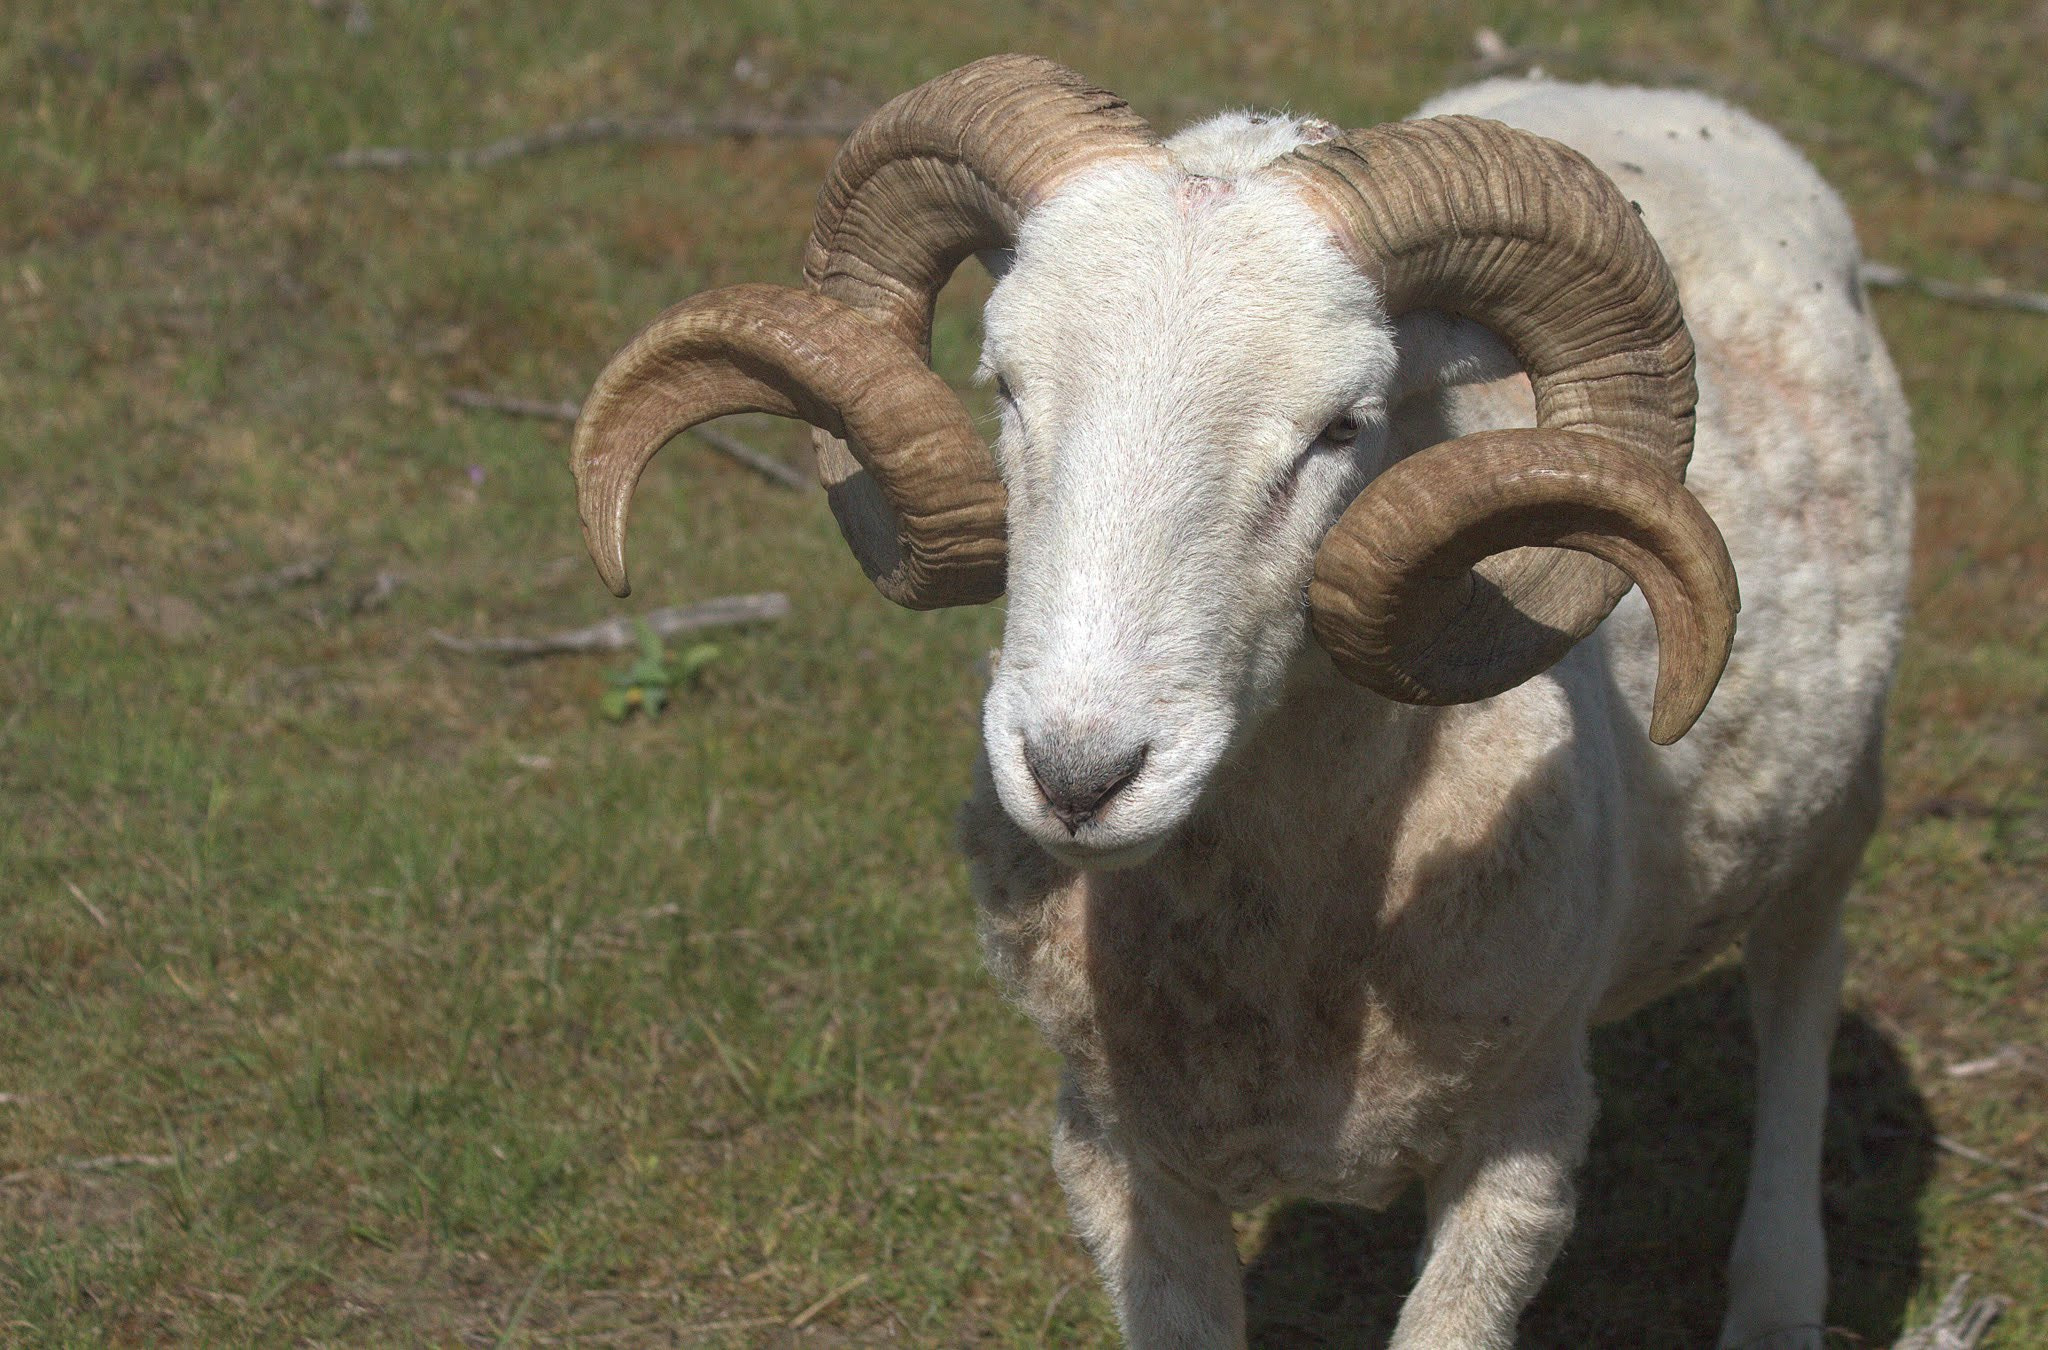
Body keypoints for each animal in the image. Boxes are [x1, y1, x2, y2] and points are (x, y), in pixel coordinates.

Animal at [569, 56, 1914, 1349]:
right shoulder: (1118, 1155)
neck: (1288, 942)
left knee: (1797, 986)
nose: (1076, 774)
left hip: (1838, 797)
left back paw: (1778, 1297)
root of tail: (1641, 94)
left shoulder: (1521, 1140)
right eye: (1002, 385)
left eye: (1342, 428)